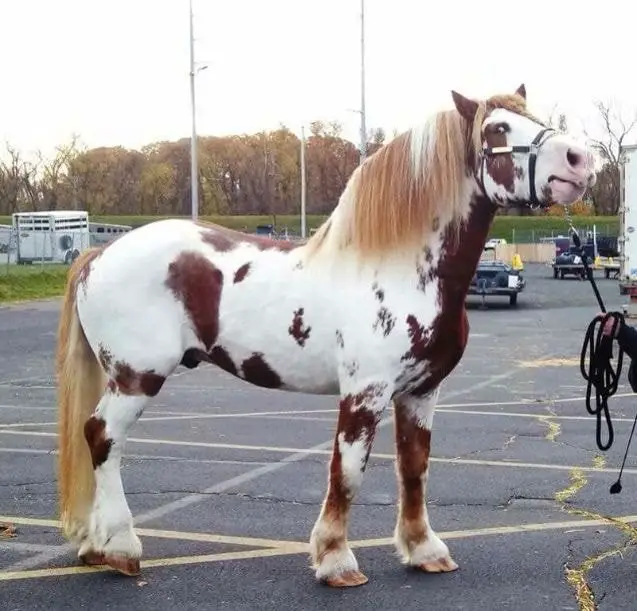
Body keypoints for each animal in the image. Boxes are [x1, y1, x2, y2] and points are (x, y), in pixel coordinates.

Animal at [56, 85, 596, 588]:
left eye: (536, 118)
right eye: (498, 129)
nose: (582, 160)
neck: (400, 269)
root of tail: (98, 255)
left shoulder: (421, 393)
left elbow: (414, 468)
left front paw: (424, 550)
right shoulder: (364, 393)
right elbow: (348, 471)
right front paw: (336, 560)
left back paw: (95, 546)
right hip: (137, 377)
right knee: (103, 437)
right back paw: (122, 548)